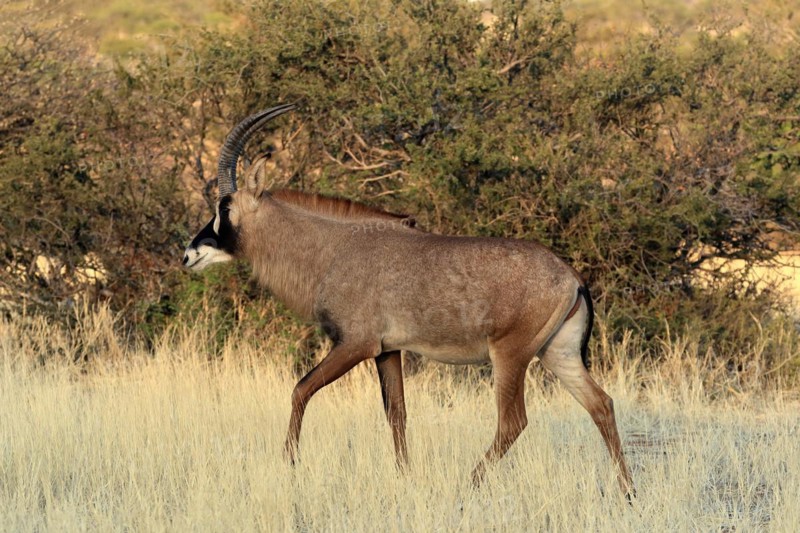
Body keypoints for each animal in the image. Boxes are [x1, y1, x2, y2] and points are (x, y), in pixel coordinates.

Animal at [183, 105, 635, 499]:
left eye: (225, 207)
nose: (189, 255)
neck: (333, 248)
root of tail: (571, 278)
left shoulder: (355, 345)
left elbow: (300, 390)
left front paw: (288, 464)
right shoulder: (388, 351)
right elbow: (396, 414)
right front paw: (405, 477)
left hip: (511, 355)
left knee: (513, 421)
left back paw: (468, 485)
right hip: (558, 354)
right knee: (601, 405)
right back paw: (627, 492)